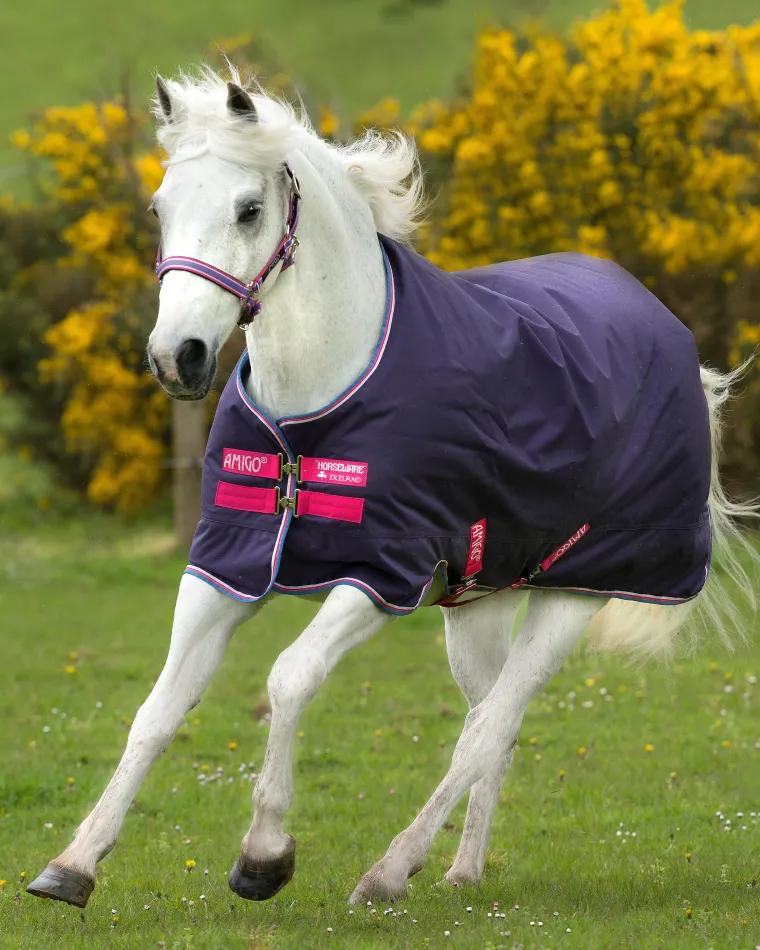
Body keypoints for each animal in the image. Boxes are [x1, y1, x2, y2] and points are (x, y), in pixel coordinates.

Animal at [28, 68, 758, 909]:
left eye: (248, 209)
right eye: (160, 208)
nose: (176, 358)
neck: (315, 410)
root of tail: (672, 339)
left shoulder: (380, 575)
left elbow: (288, 679)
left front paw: (264, 856)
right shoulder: (225, 565)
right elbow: (158, 709)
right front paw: (73, 864)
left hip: (577, 596)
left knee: (490, 724)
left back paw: (388, 870)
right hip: (478, 604)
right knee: (489, 725)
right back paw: (459, 870)